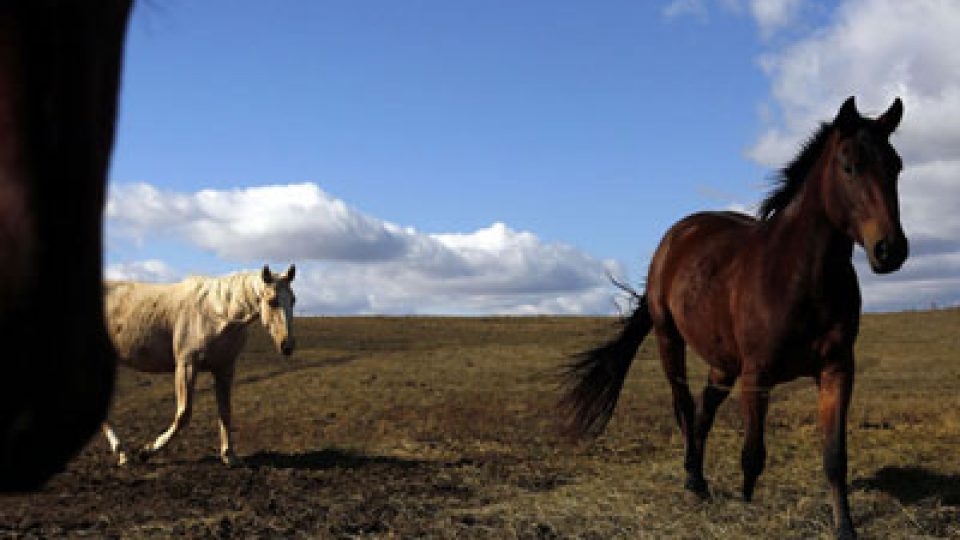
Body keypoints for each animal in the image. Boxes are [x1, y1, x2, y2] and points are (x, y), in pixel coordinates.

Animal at [101, 265, 297, 467]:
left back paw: (121, 452)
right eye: (272, 301)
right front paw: (147, 451)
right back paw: (122, 453)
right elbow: (183, 414)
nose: (287, 346)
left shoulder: (224, 369)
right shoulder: (187, 365)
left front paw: (229, 455)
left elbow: (225, 411)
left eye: (293, 300)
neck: (216, 314)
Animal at [561, 97, 907, 539]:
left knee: (704, 410)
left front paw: (844, 527)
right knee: (685, 407)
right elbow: (753, 454)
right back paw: (694, 482)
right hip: (670, 341)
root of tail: (678, 235)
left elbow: (834, 457)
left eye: (896, 166)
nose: (890, 250)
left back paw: (696, 475)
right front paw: (745, 507)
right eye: (849, 166)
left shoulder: (837, 370)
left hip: (723, 363)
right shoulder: (757, 376)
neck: (801, 276)